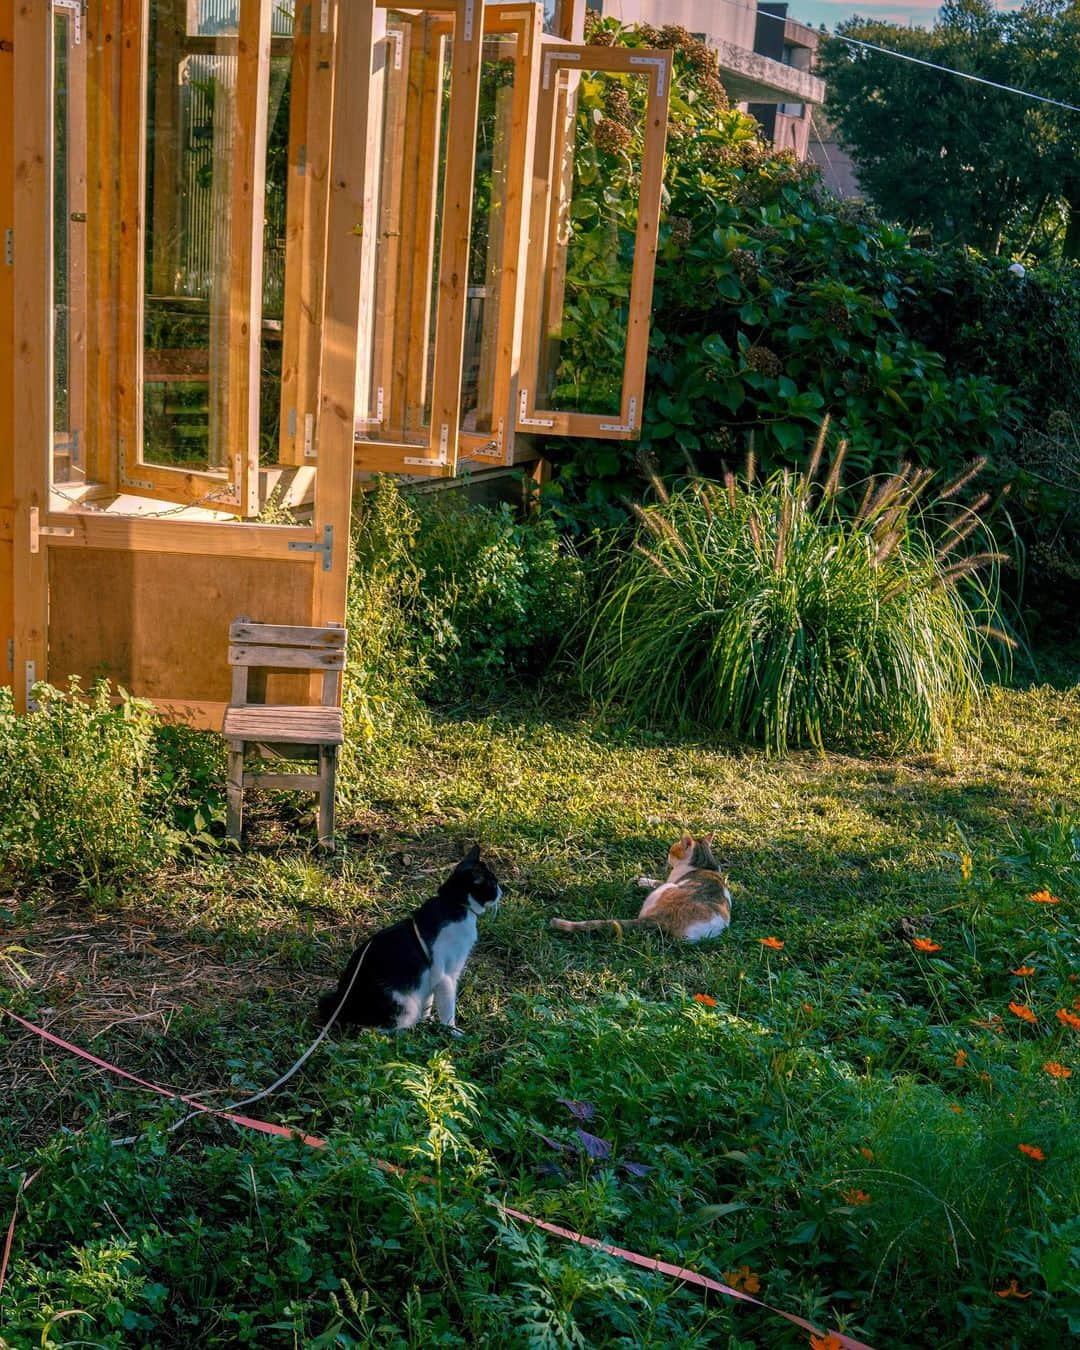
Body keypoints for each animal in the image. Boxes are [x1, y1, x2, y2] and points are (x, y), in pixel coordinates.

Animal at [318, 842, 504, 1031]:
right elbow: (448, 1010)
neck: (453, 903)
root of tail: (342, 1003)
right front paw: (452, 1031)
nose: (502, 891)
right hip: (405, 1006)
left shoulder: (430, 978)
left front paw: (427, 1021)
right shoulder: (445, 975)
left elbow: (428, 1002)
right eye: (493, 884)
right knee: (370, 1030)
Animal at [553, 826, 729, 945]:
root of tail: (661, 918)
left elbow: (657, 881)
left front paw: (643, 880)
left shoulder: (670, 881)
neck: (704, 865)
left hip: (663, 891)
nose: (667, 856)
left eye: (671, 851)